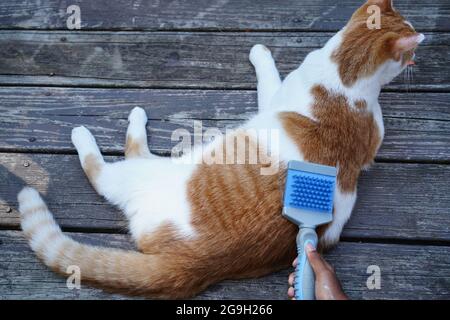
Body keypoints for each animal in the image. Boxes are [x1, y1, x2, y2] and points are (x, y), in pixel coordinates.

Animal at [17, 0, 424, 298]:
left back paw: (104, 127)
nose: (415, 61)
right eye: (405, 56)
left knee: (107, 167)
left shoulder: (274, 97)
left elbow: (267, 74)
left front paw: (259, 52)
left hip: (145, 173)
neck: (347, 79)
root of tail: (191, 264)